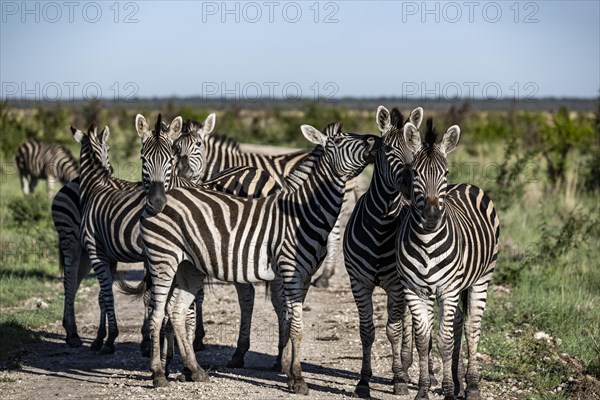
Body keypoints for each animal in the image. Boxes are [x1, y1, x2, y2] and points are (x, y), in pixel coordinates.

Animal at [138, 122, 378, 390]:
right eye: (337, 141)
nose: (375, 140)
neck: (304, 213)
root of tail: (160, 199)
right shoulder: (291, 272)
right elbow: (296, 326)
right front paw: (298, 379)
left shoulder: (304, 277)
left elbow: (292, 322)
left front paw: (289, 371)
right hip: (163, 259)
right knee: (157, 313)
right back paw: (159, 374)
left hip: (189, 267)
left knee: (176, 311)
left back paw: (196, 370)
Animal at [344, 104, 428, 398]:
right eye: (389, 149)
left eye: (416, 149)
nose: (411, 187)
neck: (381, 226)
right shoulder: (359, 282)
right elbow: (367, 331)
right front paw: (363, 381)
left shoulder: (395, 285)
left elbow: (394, 330)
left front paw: (399, 378)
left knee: (408, 324)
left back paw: (410, 368)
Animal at [396, 119, 500, 400]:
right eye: (415, 173)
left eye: (445, 173)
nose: (432, 217)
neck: (426, 242)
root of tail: (467, 185)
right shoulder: (414, 290)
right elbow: (423, 341)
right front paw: (424, 389)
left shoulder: (448, 290)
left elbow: (443, 340)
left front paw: (448, 391)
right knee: (458, 323)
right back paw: (457, 380)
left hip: (481, 279)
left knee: (472, 329)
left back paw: (471, 385)